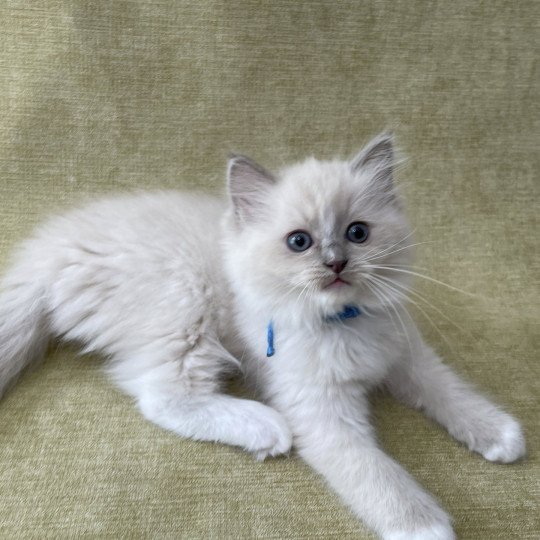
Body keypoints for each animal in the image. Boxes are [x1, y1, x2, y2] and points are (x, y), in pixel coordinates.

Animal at [0, 132, 524, 540]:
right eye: (299, 242)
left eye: (357, 233)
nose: (336, 263)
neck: (344, 321)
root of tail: (50, 248)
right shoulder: (321, 413)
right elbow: (377, 473)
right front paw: (423, 525)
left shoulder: (409, 359)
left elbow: (451, 393)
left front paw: (499, 435)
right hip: (187, 304)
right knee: (163, 397)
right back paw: (263, 427)